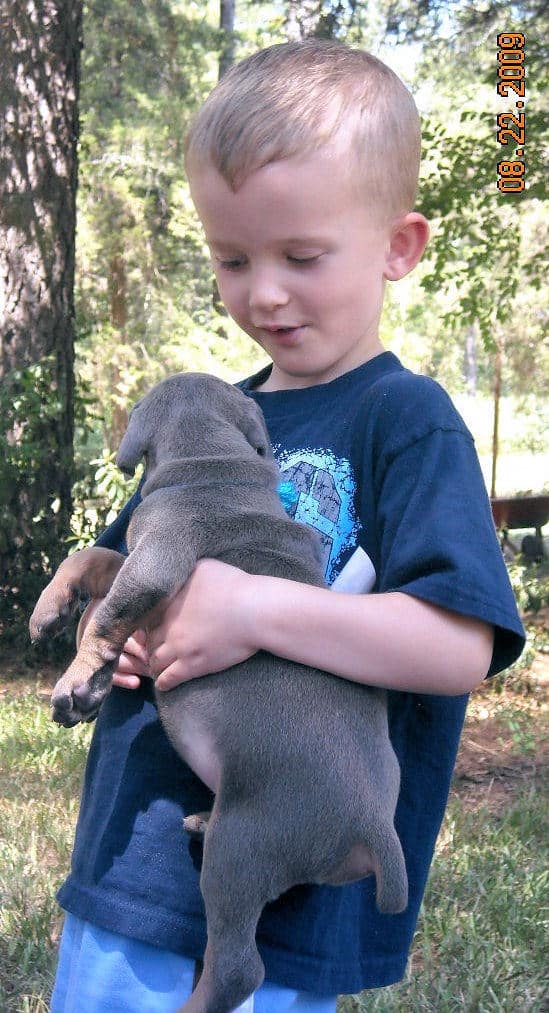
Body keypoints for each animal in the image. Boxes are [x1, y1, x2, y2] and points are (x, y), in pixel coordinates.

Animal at [30, 372, 409, 1013]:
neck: (213, 464)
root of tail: (374, 824)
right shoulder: (134, 558)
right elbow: (91, 555)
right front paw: (52, 614)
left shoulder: (156, 560)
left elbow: (107, 615)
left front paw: (77, 681)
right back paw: (203, 819)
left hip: (243, 852)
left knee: (238, 969)